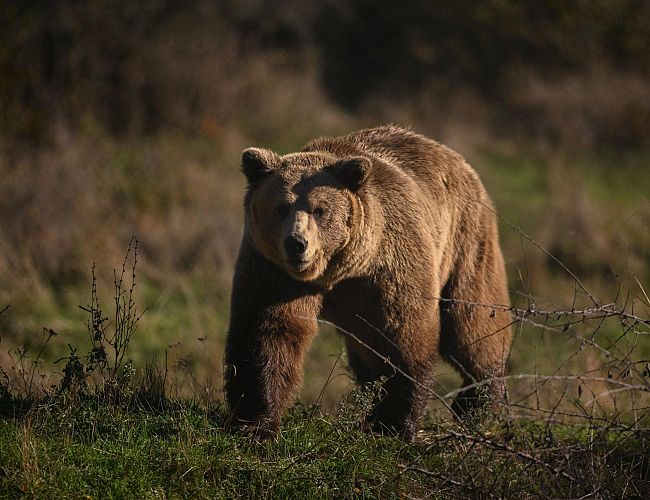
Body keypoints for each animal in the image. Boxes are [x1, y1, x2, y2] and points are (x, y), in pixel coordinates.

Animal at [224, 125, 512, 440]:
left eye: (319, 209)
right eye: (281, 207)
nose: (296, 243)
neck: (336, 271)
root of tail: (455, 158)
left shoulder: (387, 268)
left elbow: (403, 335)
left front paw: (393, 422)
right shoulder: (273, 269)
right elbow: (269, 332)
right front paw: (255, 421)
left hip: (465, 242)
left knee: (472, 323)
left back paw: (478, 402)